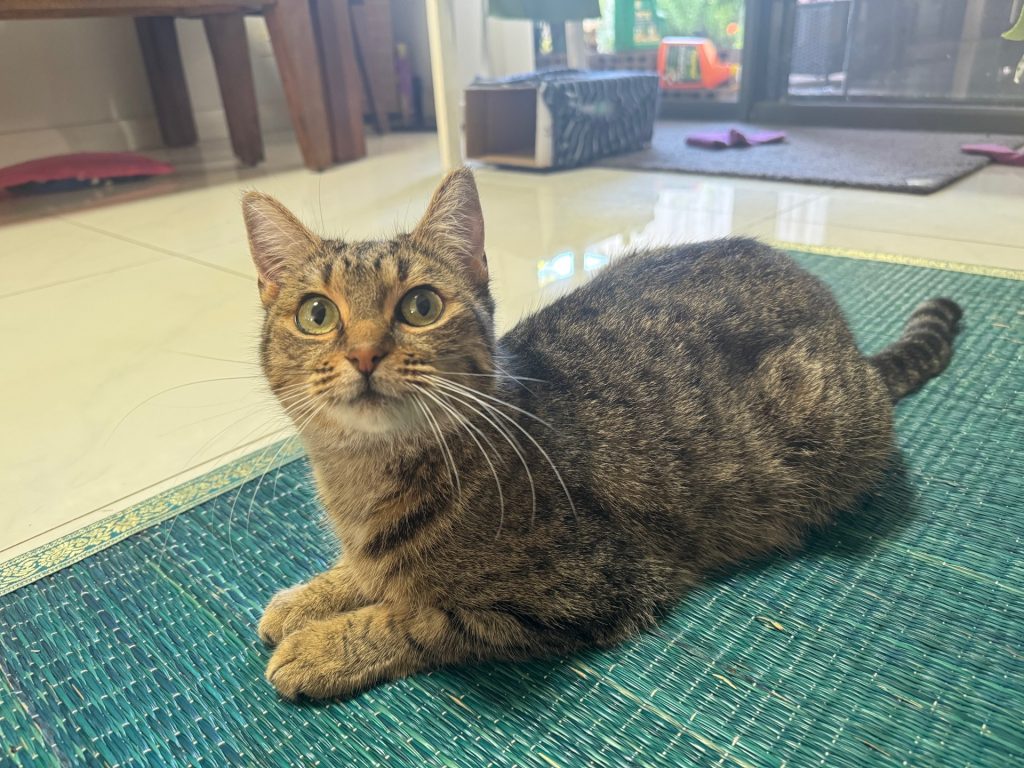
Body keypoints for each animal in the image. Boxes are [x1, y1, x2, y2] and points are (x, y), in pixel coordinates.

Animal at [242, 168, 961, 701]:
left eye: (421, 305)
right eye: (316, 314)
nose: (364, 354)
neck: (363, 477)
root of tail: (849, 337)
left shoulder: (582, 589)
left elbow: (418, 615)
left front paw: (323, 645)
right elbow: (369, 573)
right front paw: (311, 597)